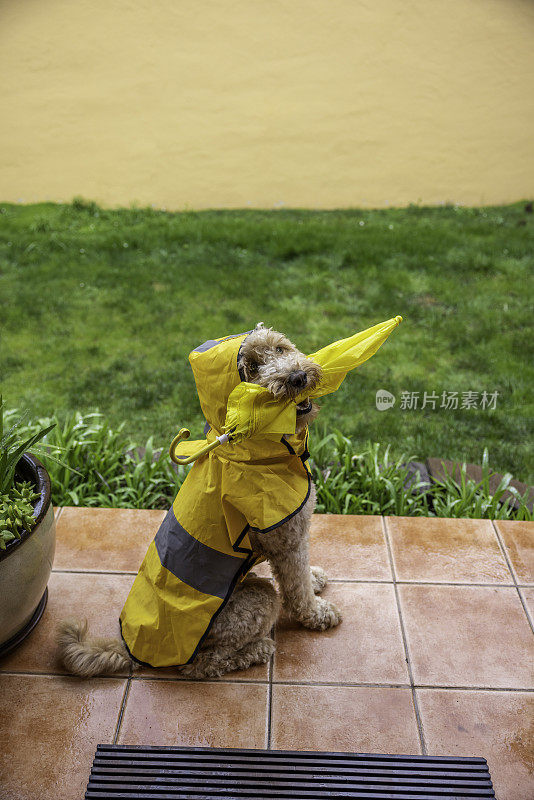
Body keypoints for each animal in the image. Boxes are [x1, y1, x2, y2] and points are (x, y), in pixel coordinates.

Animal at [58, 322, 344, 680]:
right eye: (251, 369)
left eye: (280, 348)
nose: (297, 377)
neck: (256, 455)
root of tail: (131, 649)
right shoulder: (286, 540)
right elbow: (297, 587)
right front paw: (318, 613)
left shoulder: (296, 536)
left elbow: (305, 571)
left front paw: (315, 577)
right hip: (254, 602)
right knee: (202, 664)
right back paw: (257, 650)